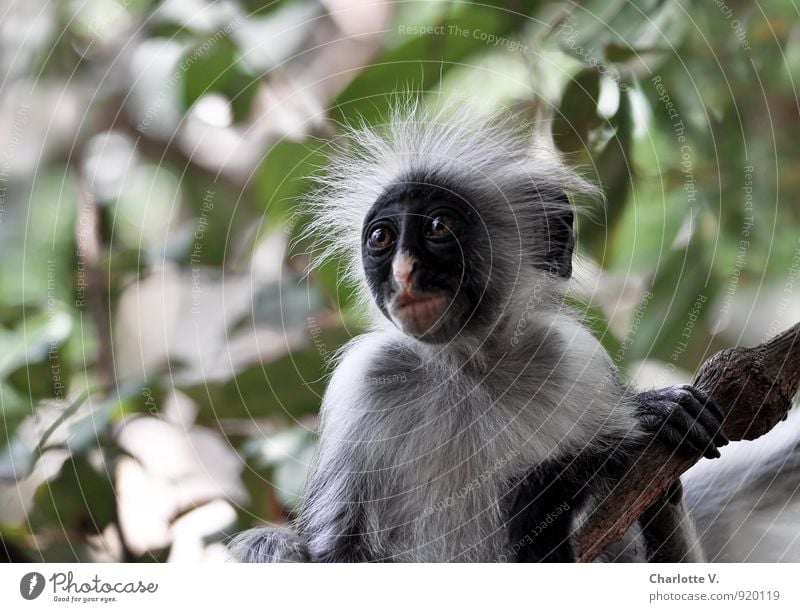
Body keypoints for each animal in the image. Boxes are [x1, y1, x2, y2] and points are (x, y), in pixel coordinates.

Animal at [228, 101, 728, 564]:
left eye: (438, 226)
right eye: (381, 238)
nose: (404, 272)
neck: (468, 365)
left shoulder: (572, 360)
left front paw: (651, 420)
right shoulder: (368, 376)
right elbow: (334, 552)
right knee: (266, 544)